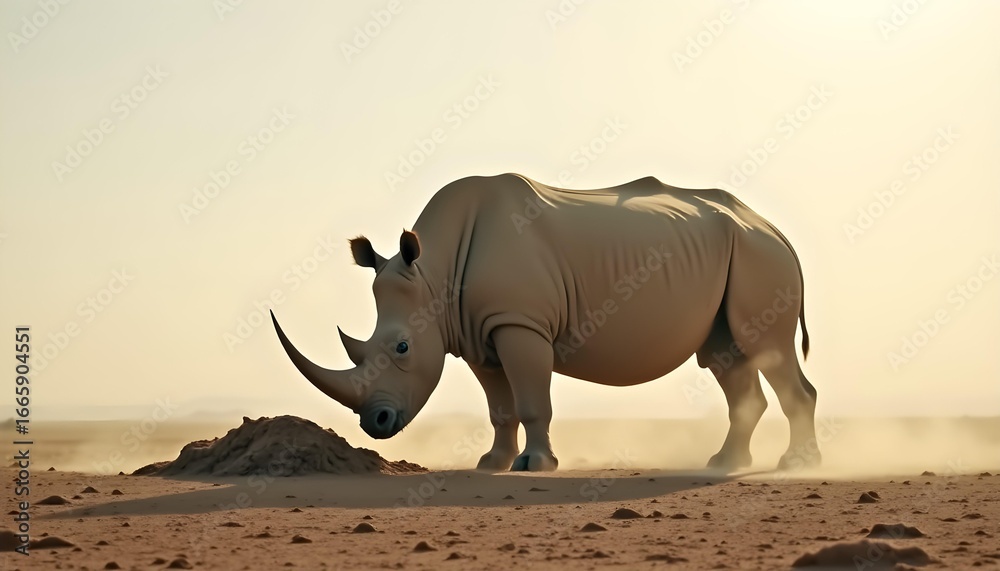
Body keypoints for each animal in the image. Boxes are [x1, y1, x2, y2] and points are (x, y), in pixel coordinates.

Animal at [271, 173, 820, 472]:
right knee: (726, 358)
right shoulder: (477, 333)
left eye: (403, 348)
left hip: (759, 255)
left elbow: (533, 399)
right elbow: (500, 407)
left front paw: (535, 464)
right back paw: (725, 464)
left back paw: (794, 466)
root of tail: (776, 229)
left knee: (766, 349)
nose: (374, 423)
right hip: (737, 255)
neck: (433, 271)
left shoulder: (520, 324)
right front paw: (491, 464)